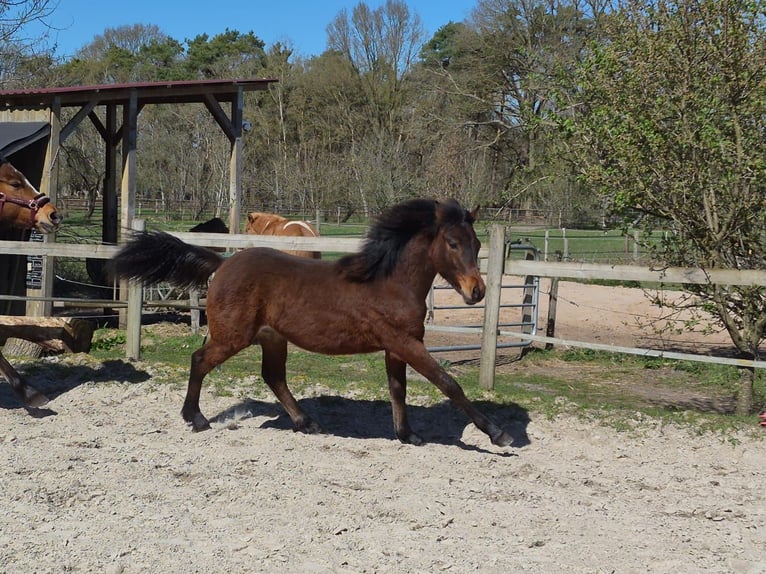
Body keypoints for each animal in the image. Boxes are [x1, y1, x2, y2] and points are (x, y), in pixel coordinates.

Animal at [109, 198, 513, 447]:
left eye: (477, 244)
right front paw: (498, 434)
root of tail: (222, 263)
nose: (476, 291)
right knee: (199, 361)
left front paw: (407, 435)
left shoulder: (397, 346)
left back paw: (308, 423)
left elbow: (398, 389)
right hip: (233, 336)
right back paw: (196, 419)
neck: (388, 282)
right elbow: (449, 384)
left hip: (272, 338)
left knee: (273, 377)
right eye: (452, 243)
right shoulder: (405, 343)